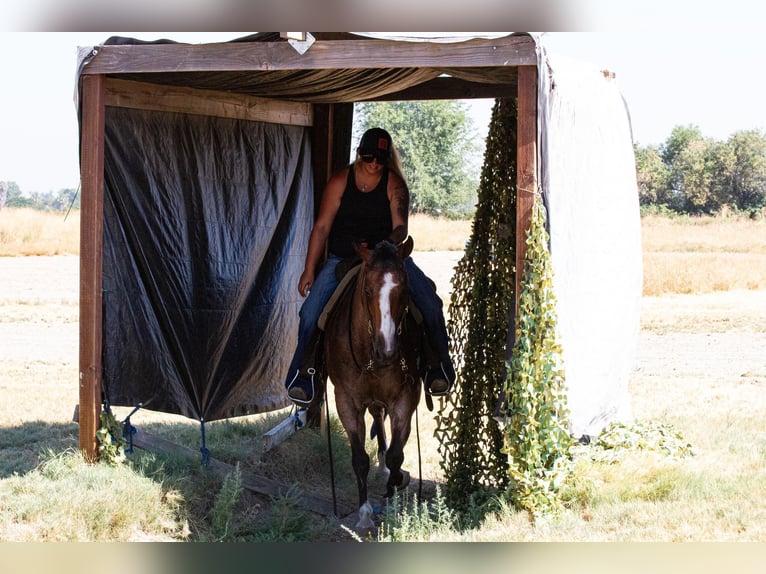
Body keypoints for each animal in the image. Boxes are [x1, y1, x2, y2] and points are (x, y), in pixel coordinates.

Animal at [322, 236, 424, 532]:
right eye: (367, 289)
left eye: (404, 289)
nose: (387, 350)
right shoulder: (345, 400)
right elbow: (359, 459)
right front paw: (365, 514)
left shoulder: (405, 398)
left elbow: (396, 455)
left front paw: (394, 490)